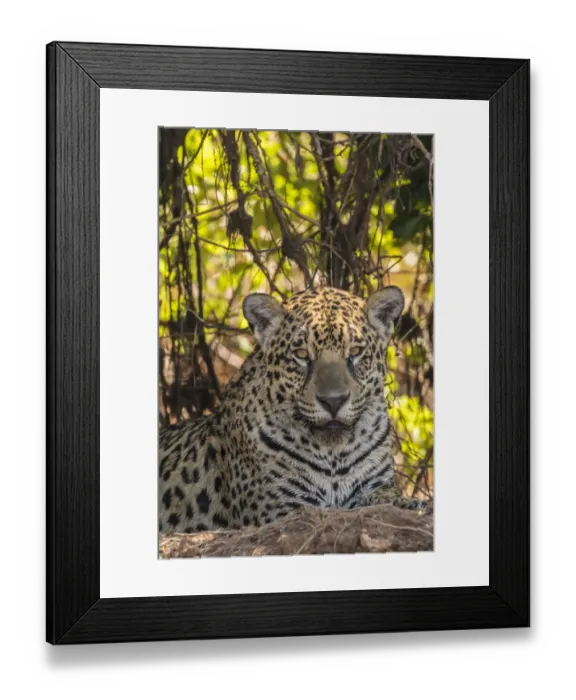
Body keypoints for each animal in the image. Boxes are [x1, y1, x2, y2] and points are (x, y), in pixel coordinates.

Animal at [158, 285, 427, 534]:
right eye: (301, 354)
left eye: (356, 352)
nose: (334, 401)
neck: (334, 452)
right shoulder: (283, 508)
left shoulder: (376, 486)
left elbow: (387, 500)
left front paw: (413, 504)